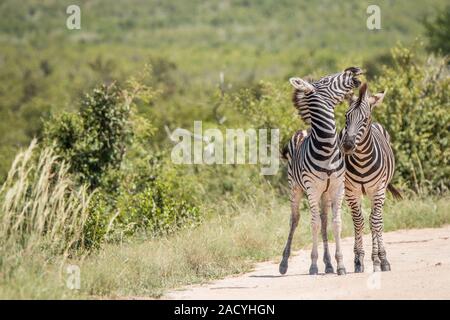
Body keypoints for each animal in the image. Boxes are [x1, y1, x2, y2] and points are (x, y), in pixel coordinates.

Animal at [278, 67, 362, 276]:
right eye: (325, 81)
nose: (354, 69)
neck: (327, 147)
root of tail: (302, 130)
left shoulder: (337, 188)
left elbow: (336, 223)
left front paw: (340, 264)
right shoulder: (312, 189)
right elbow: (313, 224)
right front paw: (314, 265)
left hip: (325, 194)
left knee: (324, 222)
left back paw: (329, 264)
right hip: (296, 188)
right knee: (295, 220)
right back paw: (284, 263)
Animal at [340, 82, 402, 272]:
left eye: (365, 119)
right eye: (346, 116)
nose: (347, 145)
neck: (361, 160)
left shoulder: (379, 189)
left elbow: (375, 222)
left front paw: (380, 260)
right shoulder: (351, 191)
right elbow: (358, 221)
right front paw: (358, 260)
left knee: (376, 220)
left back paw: (380, 259)